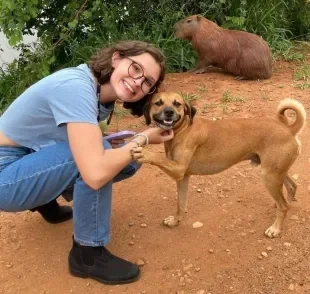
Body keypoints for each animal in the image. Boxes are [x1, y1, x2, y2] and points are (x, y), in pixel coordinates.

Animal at [132, 93, 306, 238]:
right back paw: (285, 204)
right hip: (275, 172)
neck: (182, 129)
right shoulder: (182, 177)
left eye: (177, 104)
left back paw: (275, 228)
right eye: (158, 103)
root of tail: (289, 129)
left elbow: (158, 158)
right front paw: (175, 221)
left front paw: (145, 153)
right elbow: (180, 204)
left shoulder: (178, 169)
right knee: (292, 187)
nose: (169, 112)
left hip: (269, 176)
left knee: (283, 206)